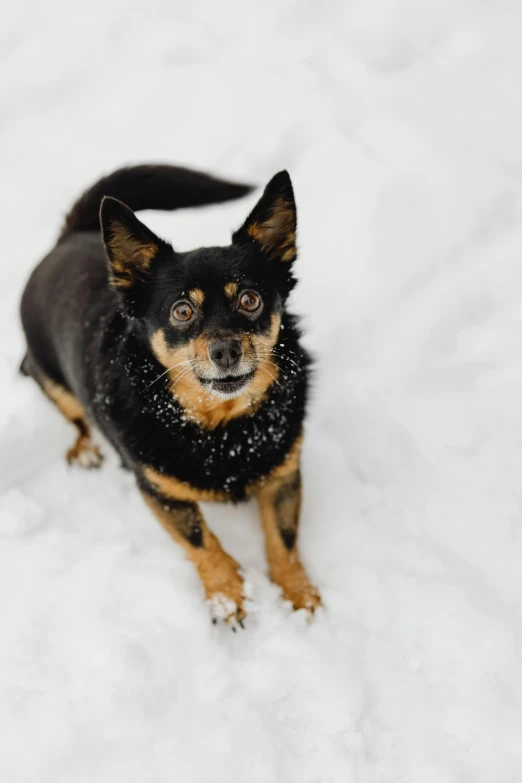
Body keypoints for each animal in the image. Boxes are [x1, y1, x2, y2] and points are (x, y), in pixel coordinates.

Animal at [19, 162, 320, 628]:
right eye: (182, 310)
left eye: (250, 300)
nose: (226, 351)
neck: (222, 426)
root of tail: (70, 237)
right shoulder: (159, 492)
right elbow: (201, 541)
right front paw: (227, 595)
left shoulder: (284, 475)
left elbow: (283, 539)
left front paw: (297, 595)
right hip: (49, 377)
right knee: (70, 412)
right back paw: (84, 449)